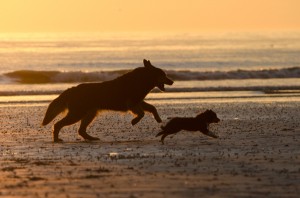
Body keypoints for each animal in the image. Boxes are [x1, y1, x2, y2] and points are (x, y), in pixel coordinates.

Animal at [42, 59, 173, 142]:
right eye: (163, 75)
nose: (172, 81)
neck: (141, 80)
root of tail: (71, 90)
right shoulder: (132, 103)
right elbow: (141, 113)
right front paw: (134, 121)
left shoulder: (139, 102)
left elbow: (152, 108)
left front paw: (158, 118)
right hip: (77, 114)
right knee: (58, 124)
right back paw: (56, 139)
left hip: (89, 114)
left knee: (81, 130)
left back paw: (91, 138)